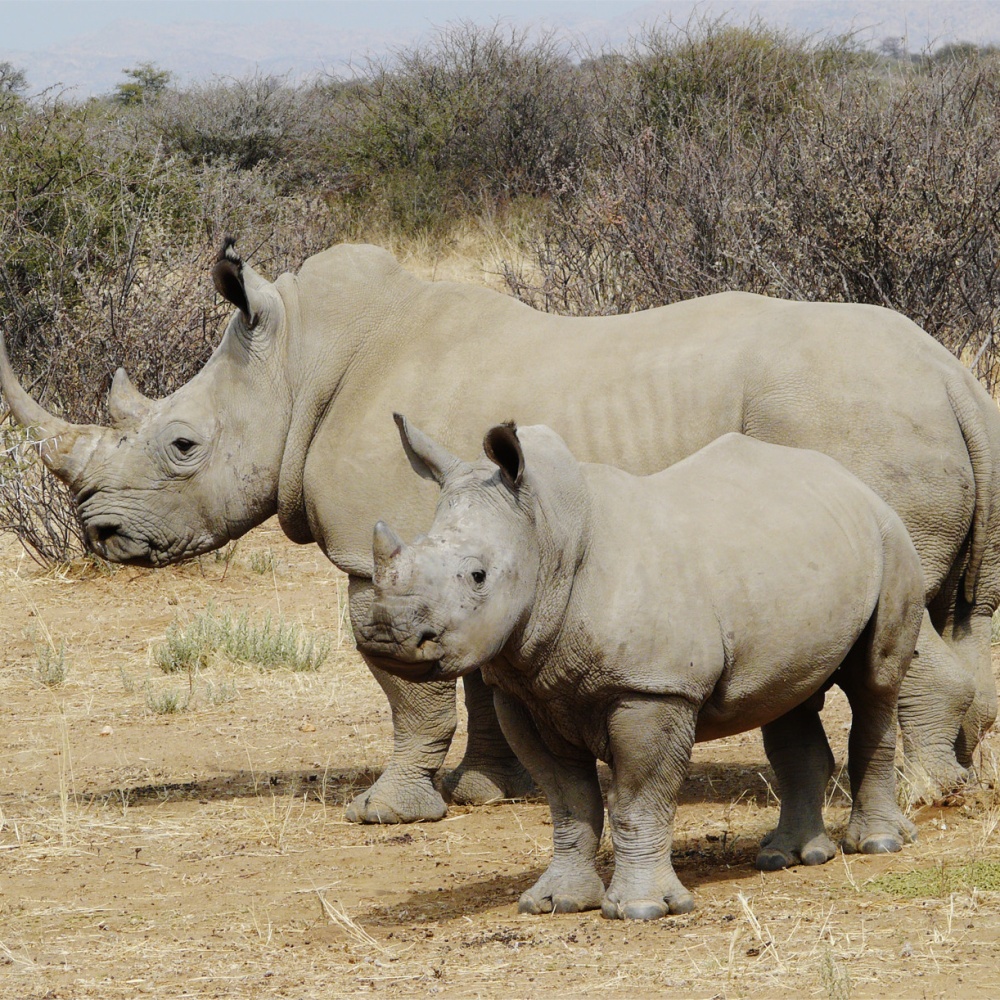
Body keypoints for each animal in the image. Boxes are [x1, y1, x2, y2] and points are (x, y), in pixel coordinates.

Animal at [358, 418, 920, 916]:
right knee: (787, 695)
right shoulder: (527, 692)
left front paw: (642, 909)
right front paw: (557, 903)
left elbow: (638, 799)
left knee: (875, 683)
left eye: (477, 576)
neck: (549, 534)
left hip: (891, 536)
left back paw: (877, 845)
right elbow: (569, 802)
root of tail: (851, 480)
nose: (385, 634)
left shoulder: (653, 689)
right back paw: (788, 856)